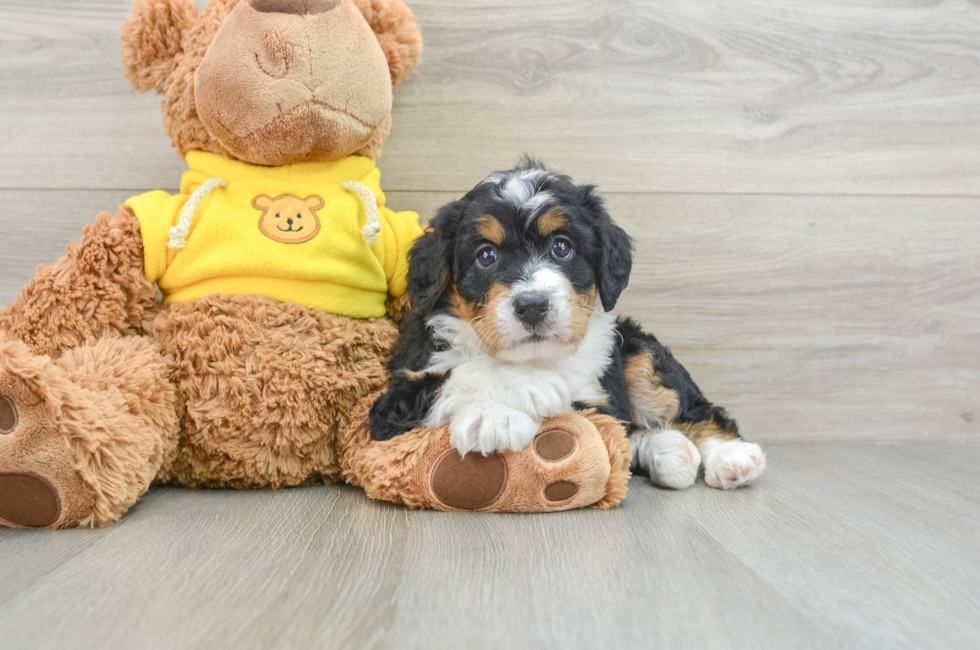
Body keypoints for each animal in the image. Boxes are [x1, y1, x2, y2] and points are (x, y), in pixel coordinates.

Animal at [372, 159, 768, 488]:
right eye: (486, 255)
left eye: (561, 247)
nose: (533, 306)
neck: (535, 357)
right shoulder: (389, 408)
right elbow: (454, 376)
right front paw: (497, 413)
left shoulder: (600, 400)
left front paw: (502, 410)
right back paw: (670, 451)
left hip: (638, 352)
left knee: (691, 408)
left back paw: (732, 458)